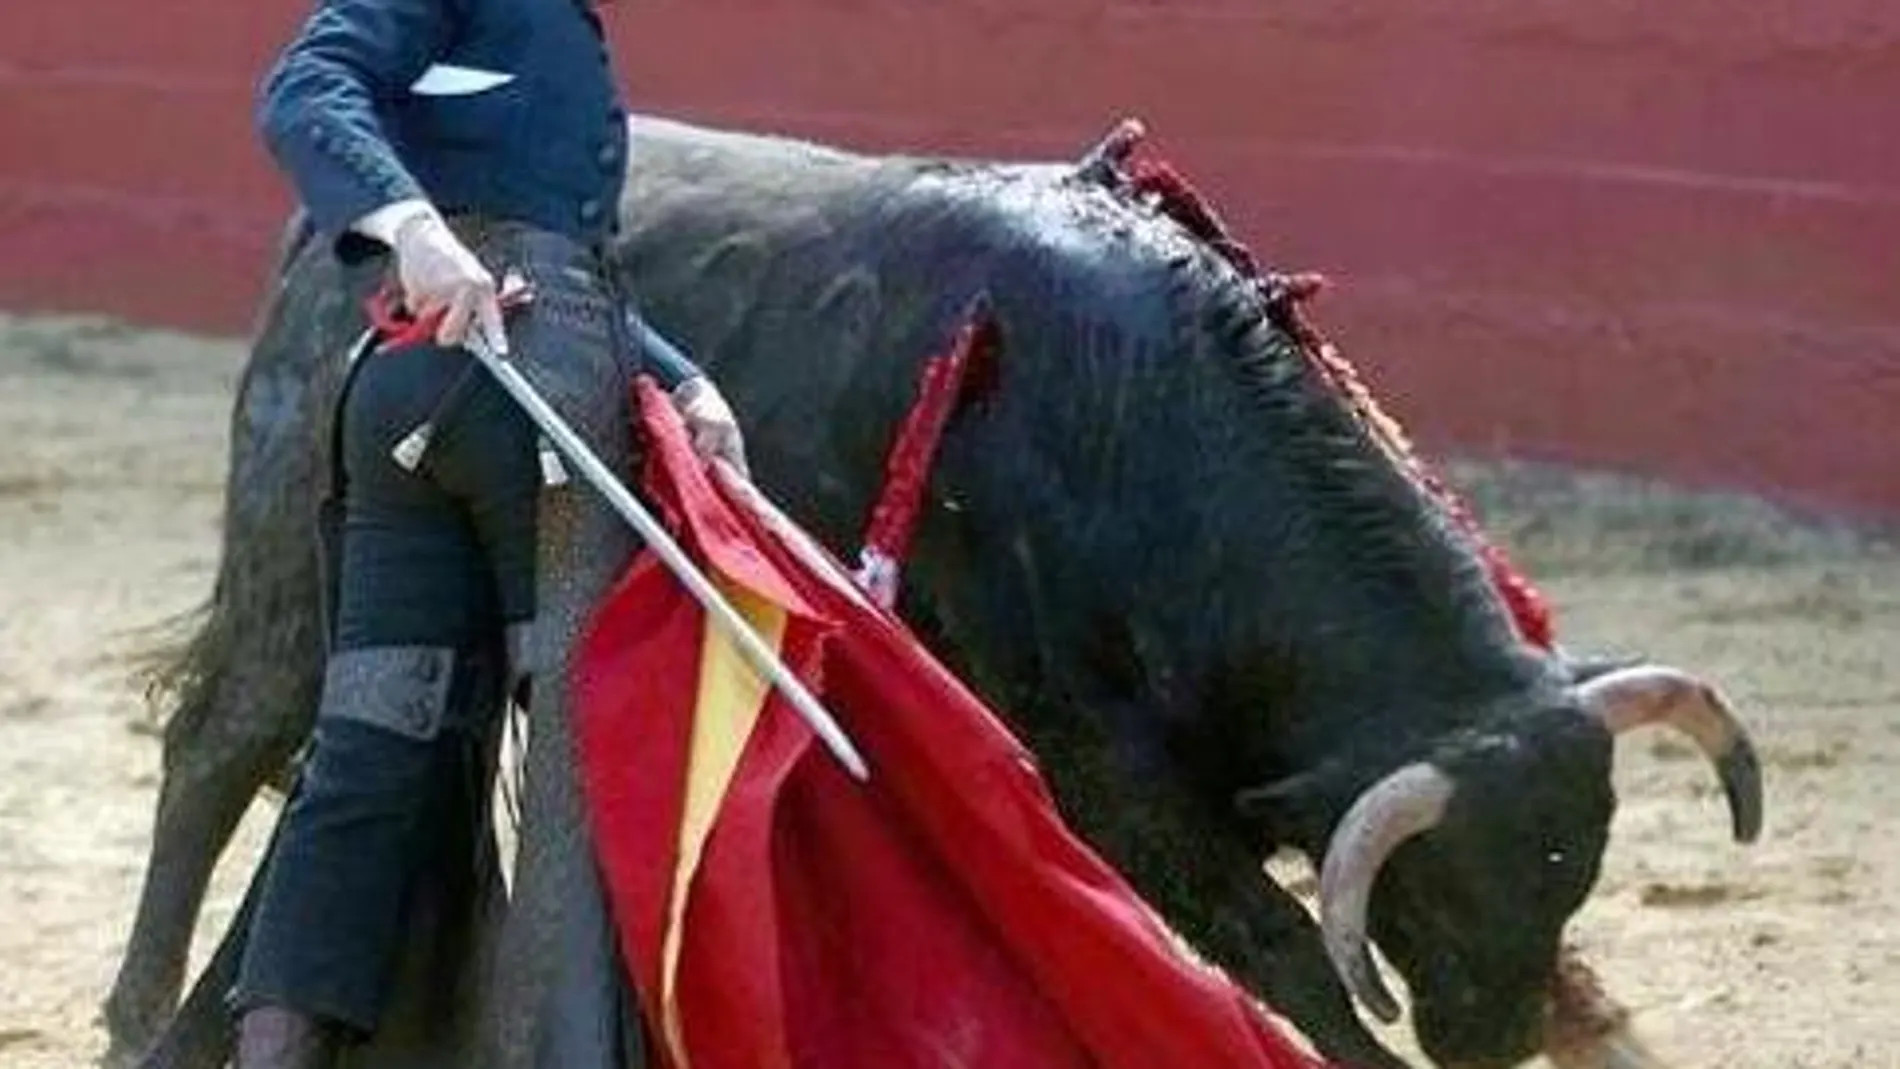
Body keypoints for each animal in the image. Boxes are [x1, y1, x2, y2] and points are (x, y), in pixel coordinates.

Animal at [107, 114, 1763, 1069]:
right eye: (1443, 891)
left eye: (1573, 872)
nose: (1494, 1041)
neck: (1150, 422)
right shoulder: (1108, 772)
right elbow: (1282, 951)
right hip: (294, 553)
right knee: (224, 748)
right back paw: (137, 1020)